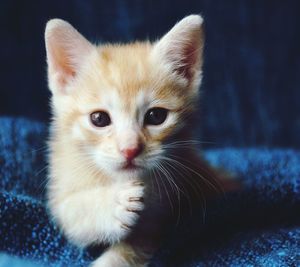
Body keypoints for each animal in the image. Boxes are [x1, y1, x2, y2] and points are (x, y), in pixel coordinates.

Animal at [45, 15, 231, 267]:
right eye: (99, 119)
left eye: (156, 116)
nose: (130, 149)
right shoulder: (63, 179)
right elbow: (70, 211)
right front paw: (111, 205)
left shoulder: (161, 213)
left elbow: (134, 247)